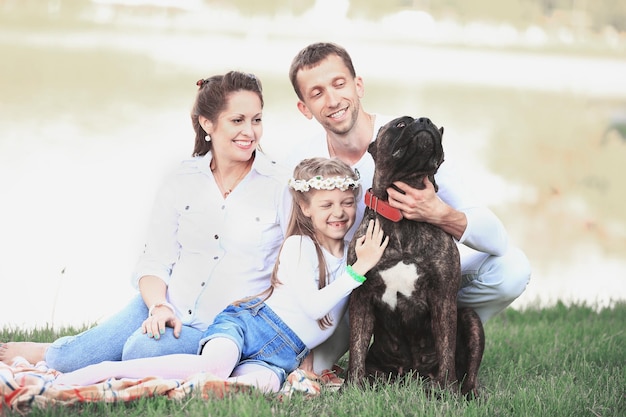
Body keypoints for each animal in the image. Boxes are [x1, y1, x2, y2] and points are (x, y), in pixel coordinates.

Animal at [346, 115, 482, 394]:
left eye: (435, 125)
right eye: (400, 124)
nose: (425, 121)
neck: (402, 219)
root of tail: (411, 375)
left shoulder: (444, 298)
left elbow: (446, 346)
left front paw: (448, 391)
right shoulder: (360, 298)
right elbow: (356, 346)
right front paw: (352, 386)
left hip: (471, 319)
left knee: (471, 372)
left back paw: (468, 391)